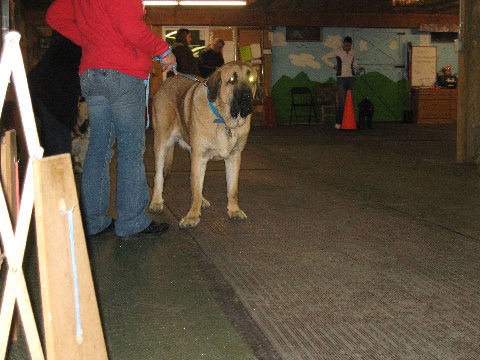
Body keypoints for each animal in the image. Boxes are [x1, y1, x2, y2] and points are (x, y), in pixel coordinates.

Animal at [150, 60, 256, 226]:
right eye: (232, 80)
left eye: (252, 80)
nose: (247, 96)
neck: (223, 119)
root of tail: (167, 81)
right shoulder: (199, 156)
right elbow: (196, 189)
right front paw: (192, 216)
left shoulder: (234, 157)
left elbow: (232, 189)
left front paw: (234, 210)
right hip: (162, 142)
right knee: (159, 176)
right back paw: (156, 202)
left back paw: (202, 200)